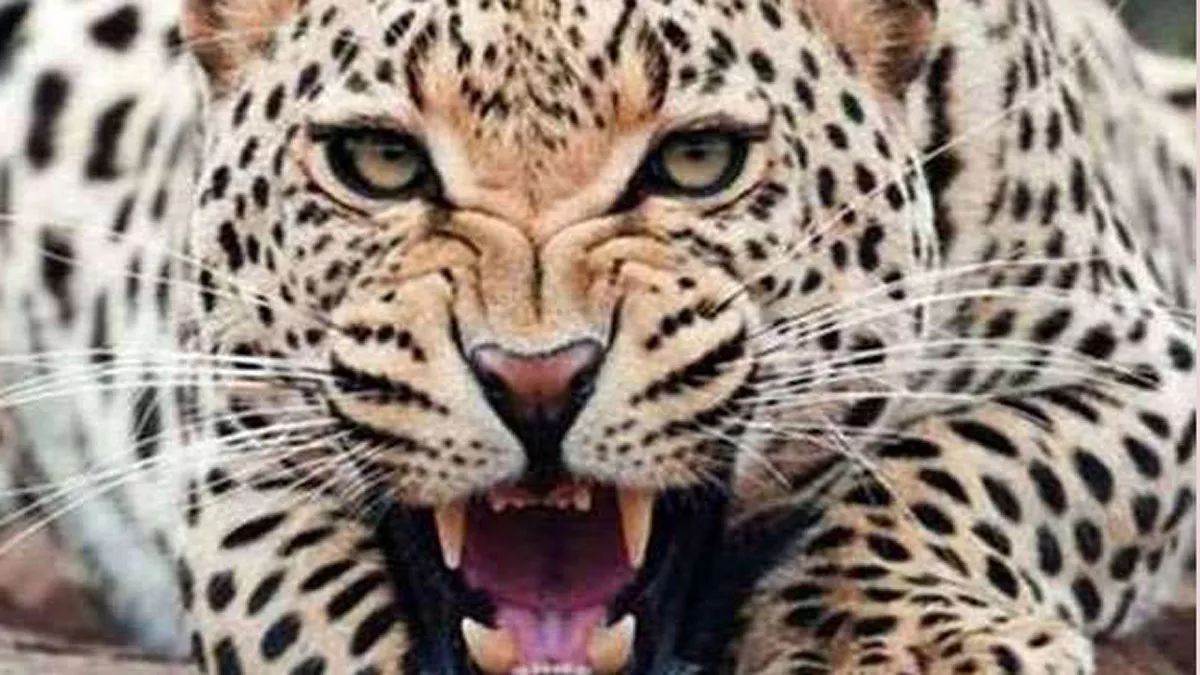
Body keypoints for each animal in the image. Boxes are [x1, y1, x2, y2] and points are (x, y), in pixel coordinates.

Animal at [0, 0, 1194, 673]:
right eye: (379, 164)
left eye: (700, 162)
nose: (536, 381)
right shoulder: (236, 447)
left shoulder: (1138, 365)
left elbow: (954, 464)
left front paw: (903, 646)